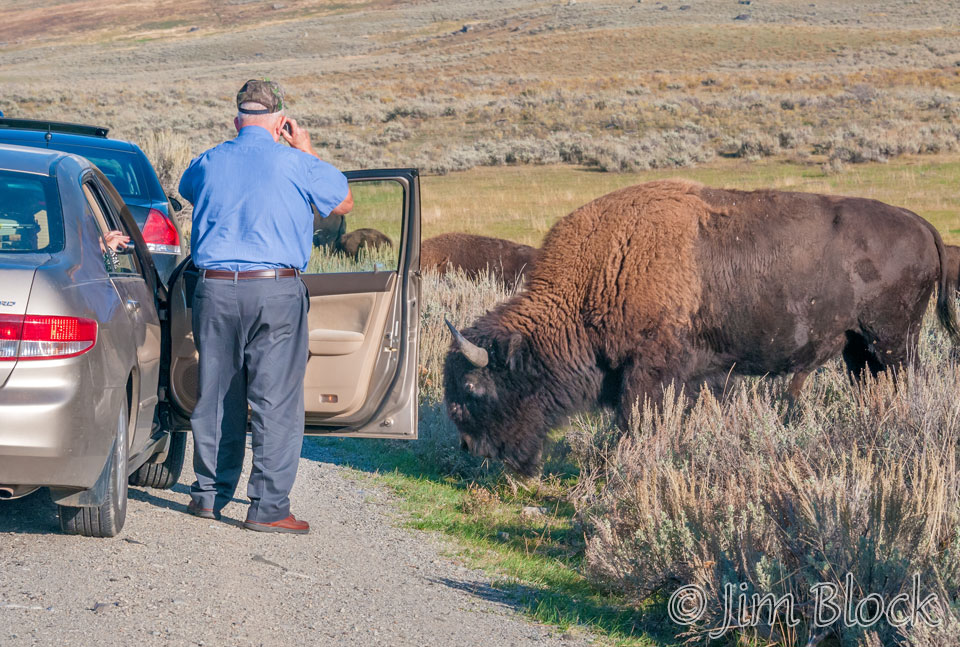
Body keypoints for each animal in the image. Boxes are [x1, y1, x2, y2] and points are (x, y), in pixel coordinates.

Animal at [442, 178, 960, 476]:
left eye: (473, 389)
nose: (472, 450)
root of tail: (923, 226)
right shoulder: (699, 375)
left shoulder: (650, 372)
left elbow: (637, 421)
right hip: (860, 347)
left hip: (892, 342)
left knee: (905, 381)